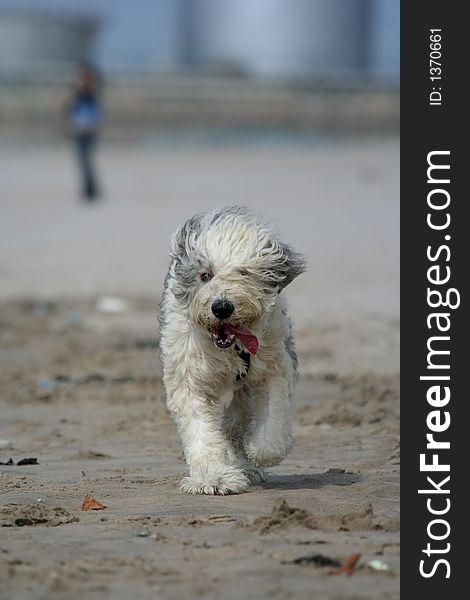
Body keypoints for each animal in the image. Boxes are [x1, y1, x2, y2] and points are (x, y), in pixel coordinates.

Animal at [160, 204, 306, 494]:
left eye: (244, 273)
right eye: (205, 275)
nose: (222, 307)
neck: (231, 346)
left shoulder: (273, 363)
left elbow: (273, 411)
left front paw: (261, 450)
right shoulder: (187, 375)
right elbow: (201, 429)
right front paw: (214, 478)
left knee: (235, 423)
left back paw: (246, 464)